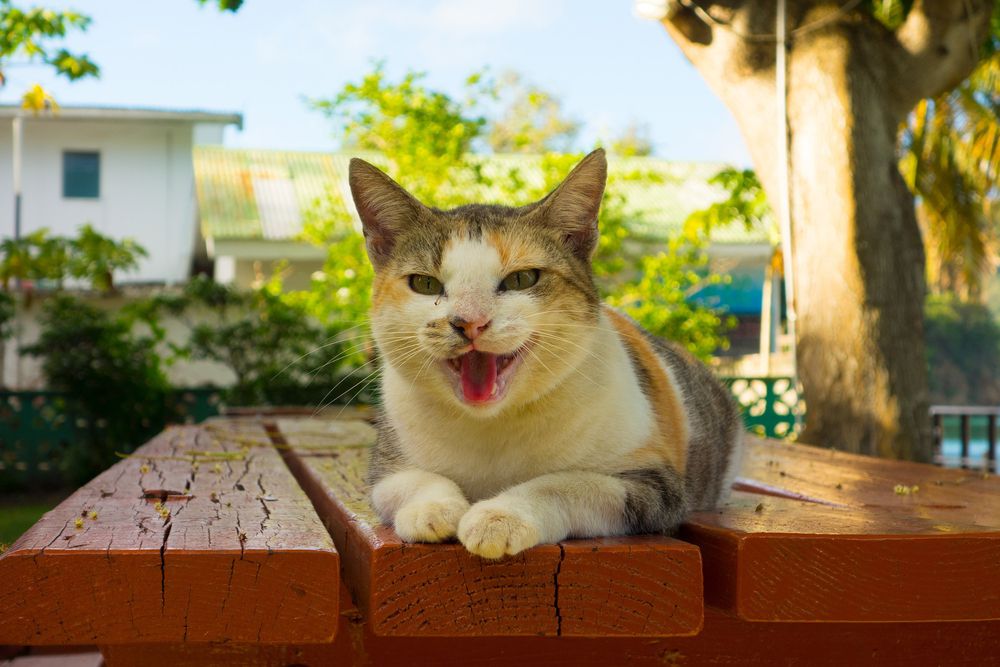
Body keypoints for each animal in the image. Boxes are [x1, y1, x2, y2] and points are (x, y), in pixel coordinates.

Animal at [350, 150, 744, 560]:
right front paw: (432, 509)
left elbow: (563, 484)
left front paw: (499, 518)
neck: (493, 426)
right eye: (424, 284)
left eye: (522, 279)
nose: (470, 322)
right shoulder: (384, 469)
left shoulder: (654, 486)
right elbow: (411, 481)